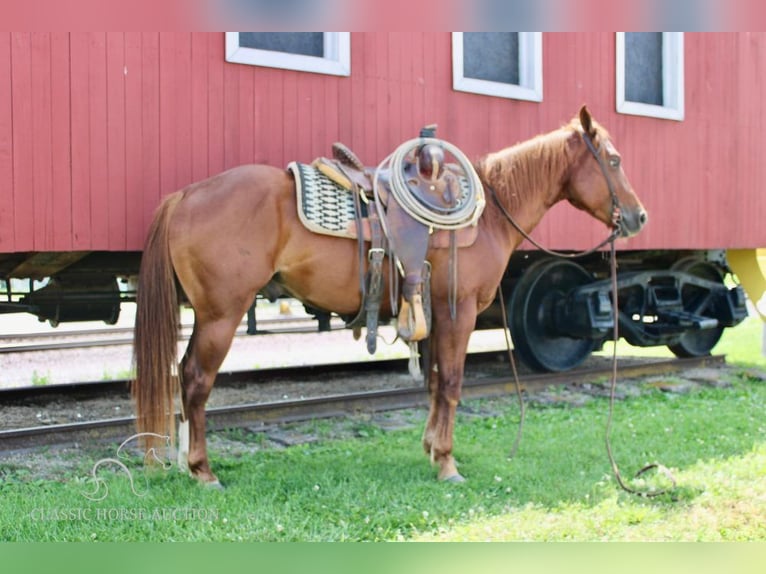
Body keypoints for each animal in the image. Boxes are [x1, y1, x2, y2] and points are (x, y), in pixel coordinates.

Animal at [132, 107, 648, 486]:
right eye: (615, 160)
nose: (639, 216)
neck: (488, 214)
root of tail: (186, 195)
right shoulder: (458, 313)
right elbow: (453, 383)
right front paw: (448, 464)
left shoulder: (436, 315)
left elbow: (436, 383)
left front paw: (431, 450)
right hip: (221, 315)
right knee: (195, 381)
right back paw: (202, 471)